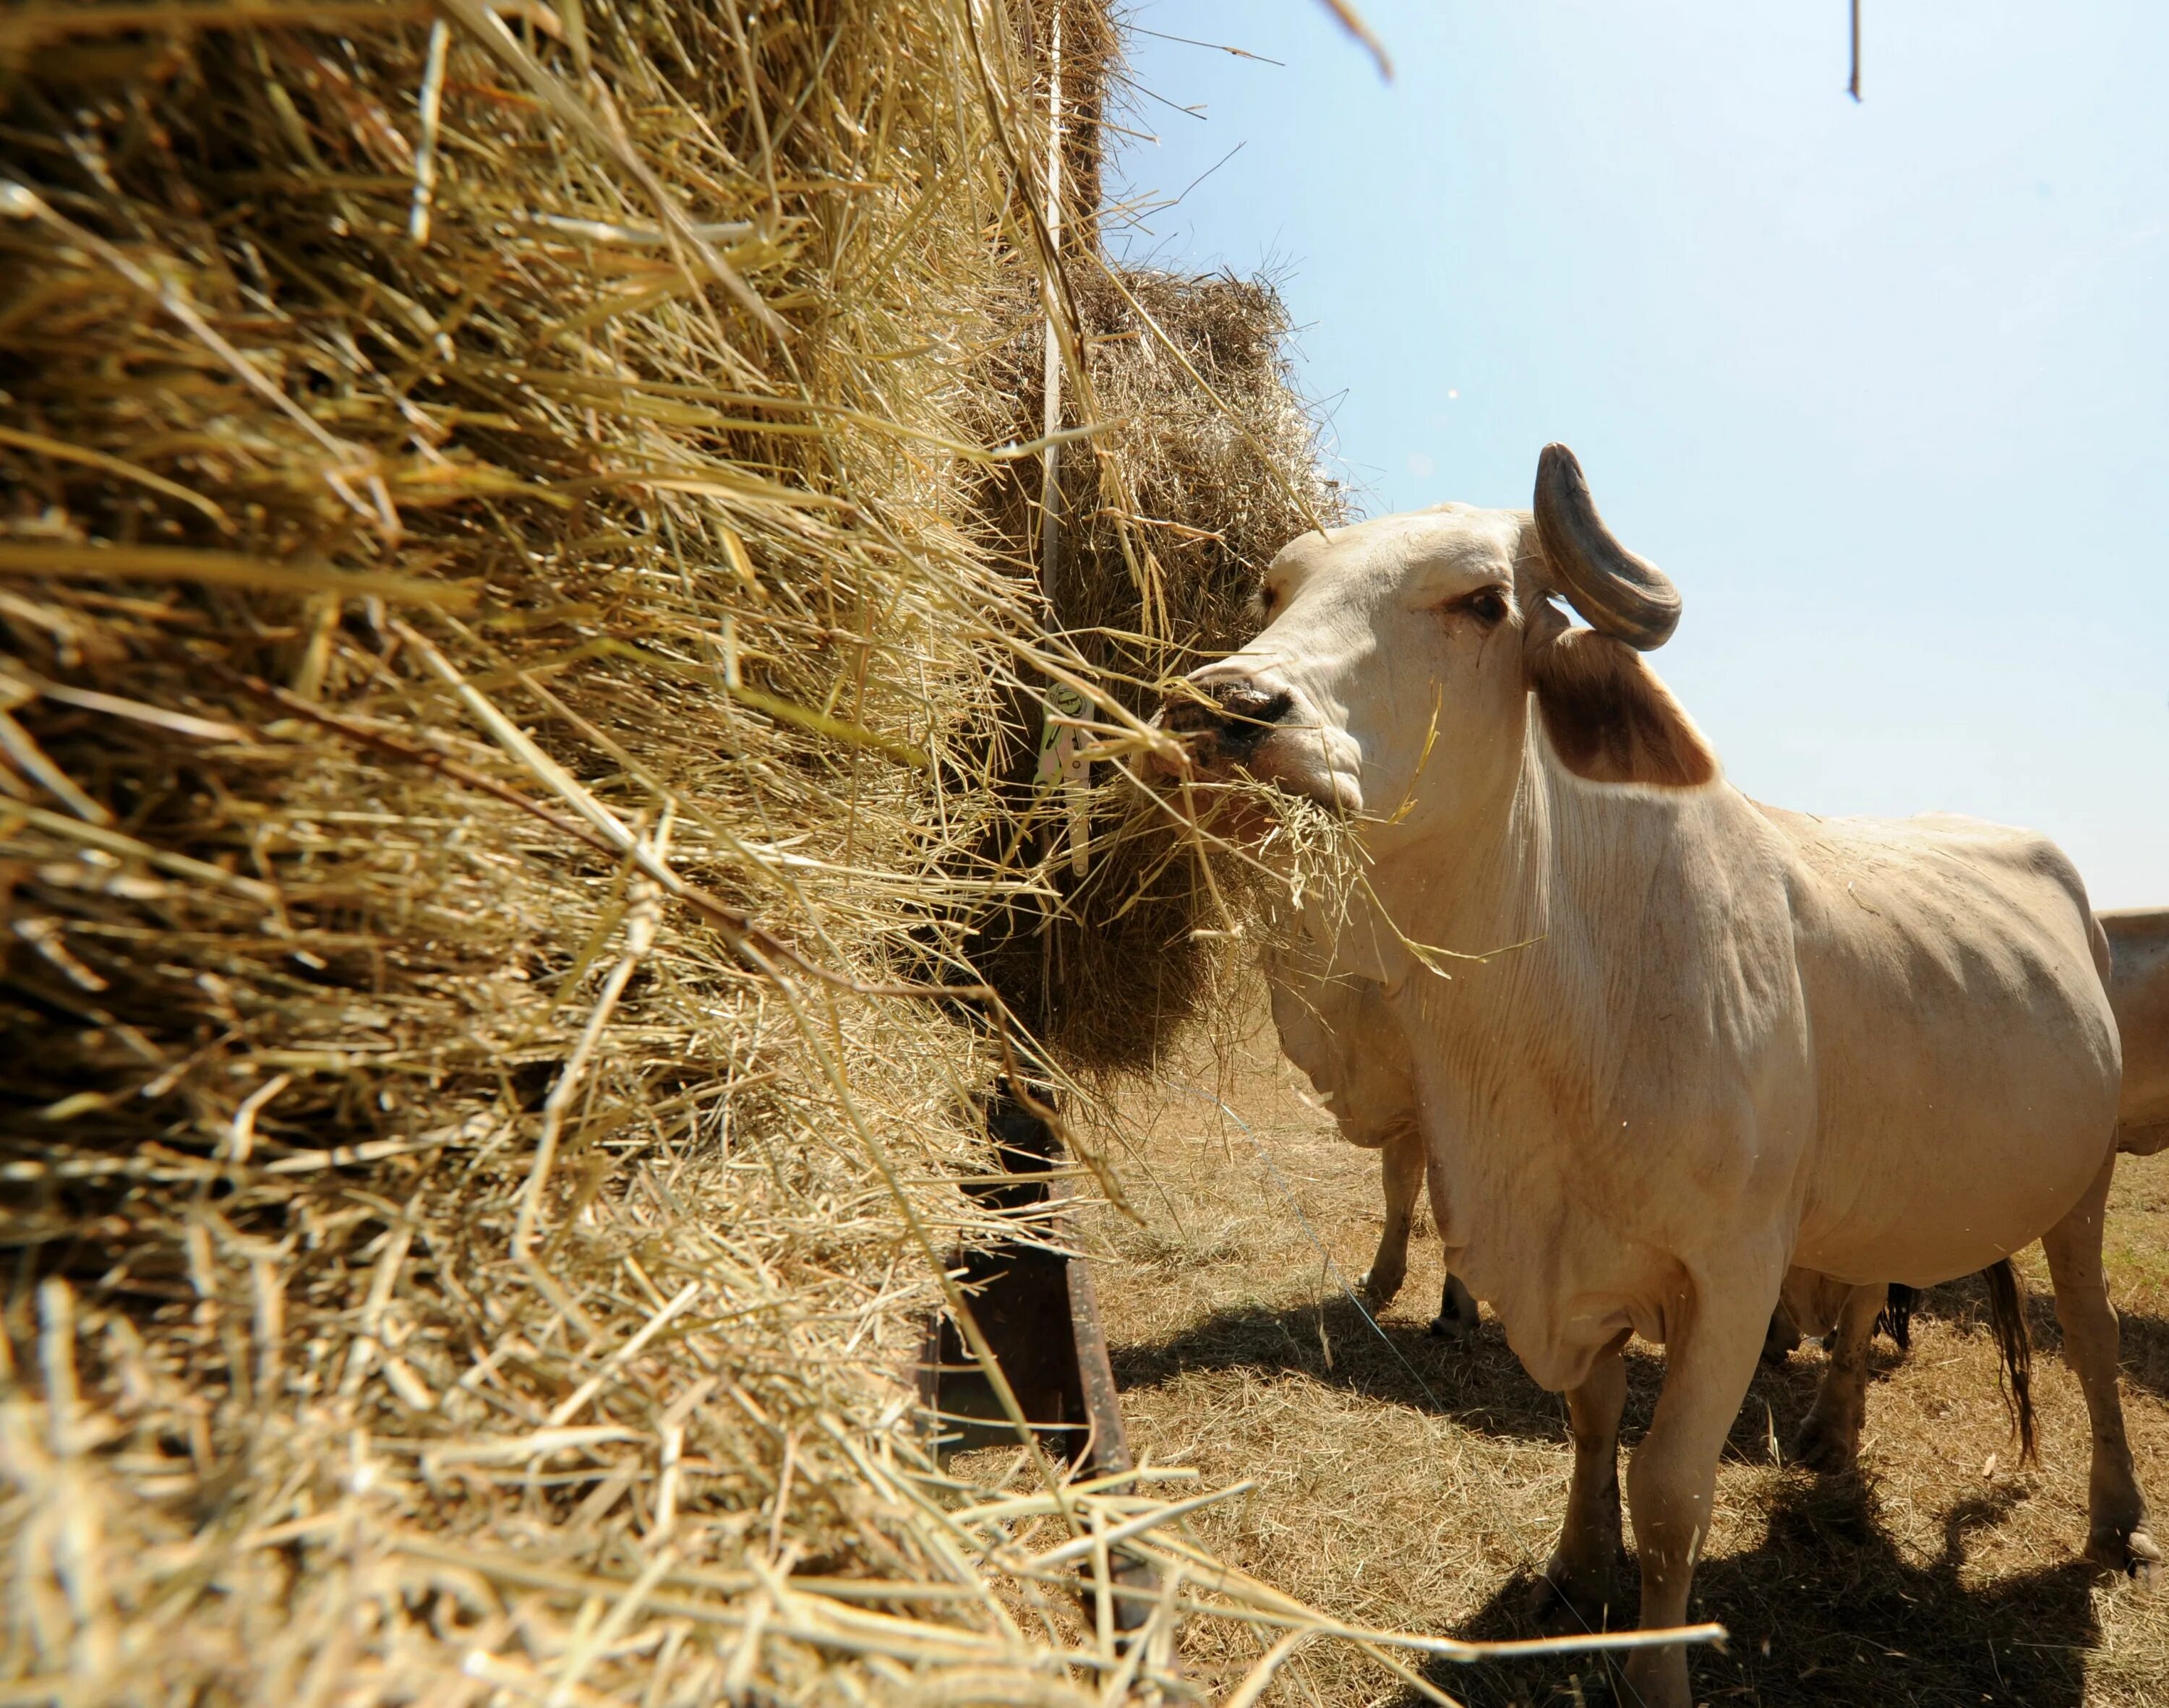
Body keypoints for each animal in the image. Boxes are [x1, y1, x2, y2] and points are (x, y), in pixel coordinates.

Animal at [1163, 450, 2143, 1708]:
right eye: (1276, 589)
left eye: (1482, 601)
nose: (1226, 704)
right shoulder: (1574, 1266)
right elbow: (1590, 1423)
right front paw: (1579, 1566)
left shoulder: (1731, 1275)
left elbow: (1671, 1487)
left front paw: (1657, 1662)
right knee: (1866, 1297)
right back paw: (1832, 1435)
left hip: (2082, 1186)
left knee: (2097, 1336)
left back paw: (2116, 1513)